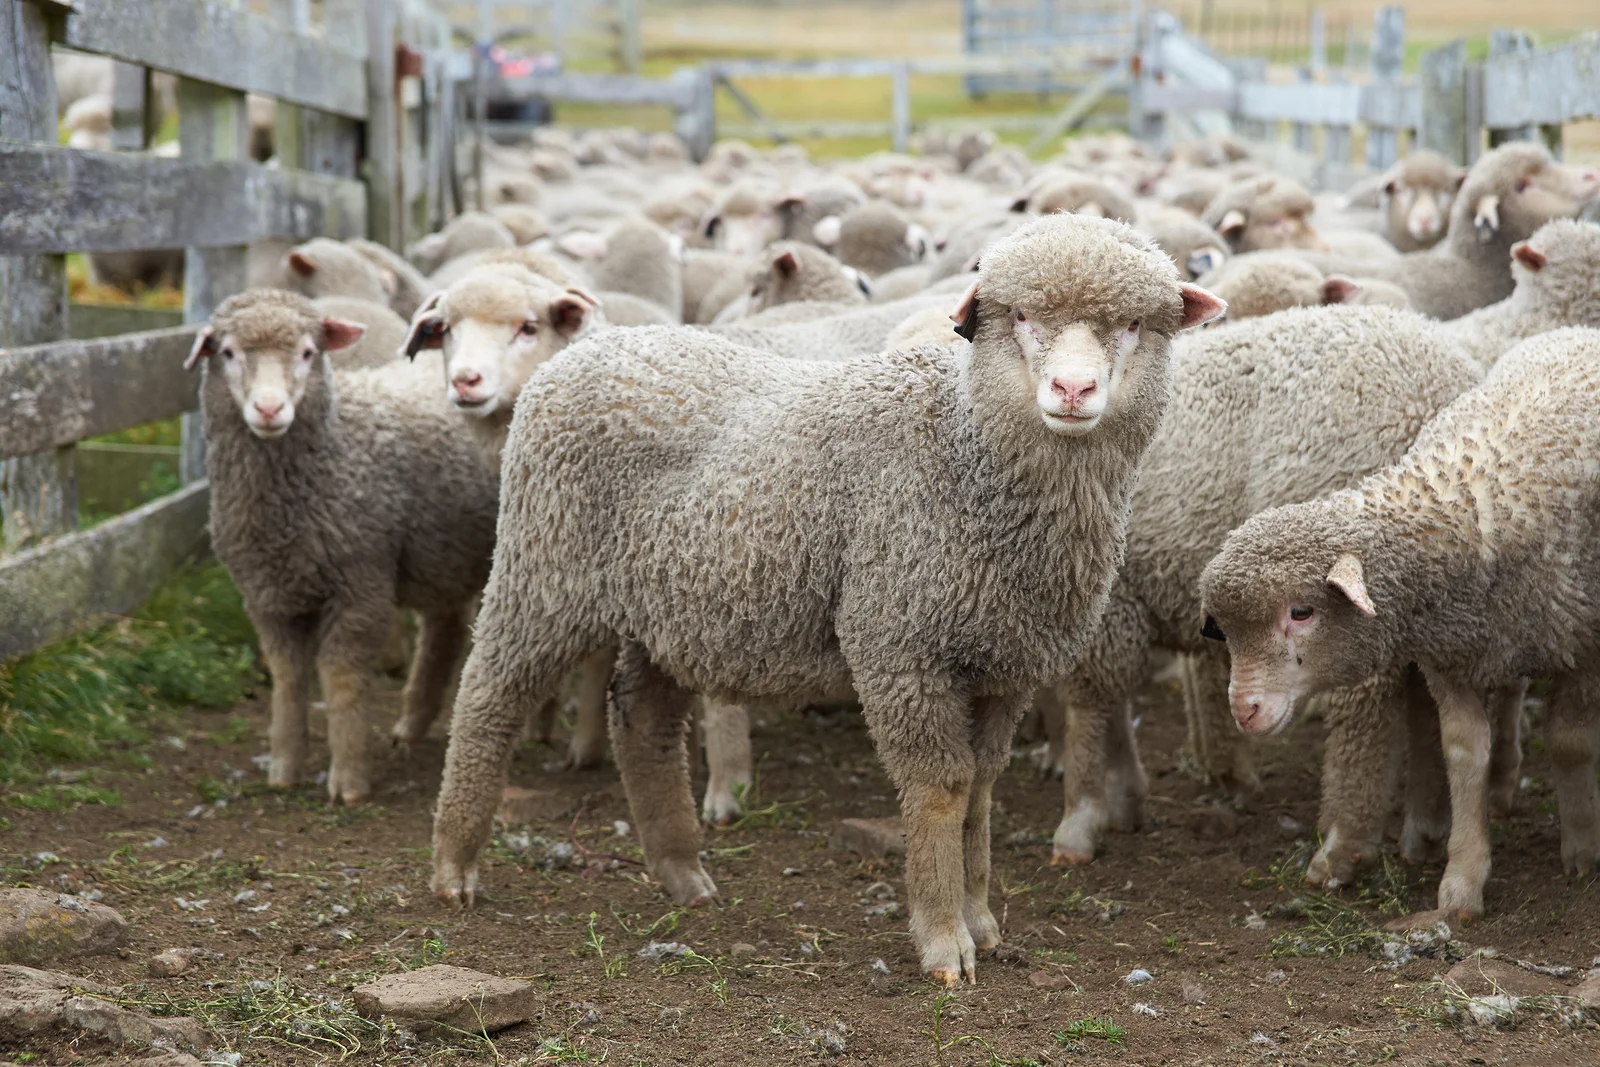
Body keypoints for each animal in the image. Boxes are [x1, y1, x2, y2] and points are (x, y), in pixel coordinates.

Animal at [187, 290, 499, 803]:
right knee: (446, 627)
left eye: (307, 353)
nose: (269, 409)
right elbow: (289, 677)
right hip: (442, 551)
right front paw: (284, 765)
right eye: (227, 352)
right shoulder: (267, 597)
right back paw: (412, 725)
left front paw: (349, 779)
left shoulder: (360, 584)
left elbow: (341, 679)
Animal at [426, 215, 1224, 987]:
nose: (1072, 392)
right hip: (542, 568)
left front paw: (982, 920)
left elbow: (982, 788)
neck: (966, 453)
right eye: (1021, 316)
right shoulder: (900, 644)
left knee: (642, 723)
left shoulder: (1004, 663)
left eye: (1133, 325)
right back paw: (454, 864)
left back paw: (683, 873)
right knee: (489, 697)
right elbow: (942, 788)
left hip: (667, 609)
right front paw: (944, 940)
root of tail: (584, 352)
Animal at [1049, 306, 1483, 887]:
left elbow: (1090, 704)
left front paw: (1083, 815)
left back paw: (1343, 846)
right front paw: (1123, 799)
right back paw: (1425, 830)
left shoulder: (1107, 595)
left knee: (1363, 710)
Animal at [1198, 327, 1600, 922]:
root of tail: (1579, 331)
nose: (1244, 711)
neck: (1463, 505)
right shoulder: (1453, 657)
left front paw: (1582, 847)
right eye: (1226, 632)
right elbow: (1463, 753)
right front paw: (1462, 880)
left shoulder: (1585, 647)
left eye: (1301, 612)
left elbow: (1571, 743)